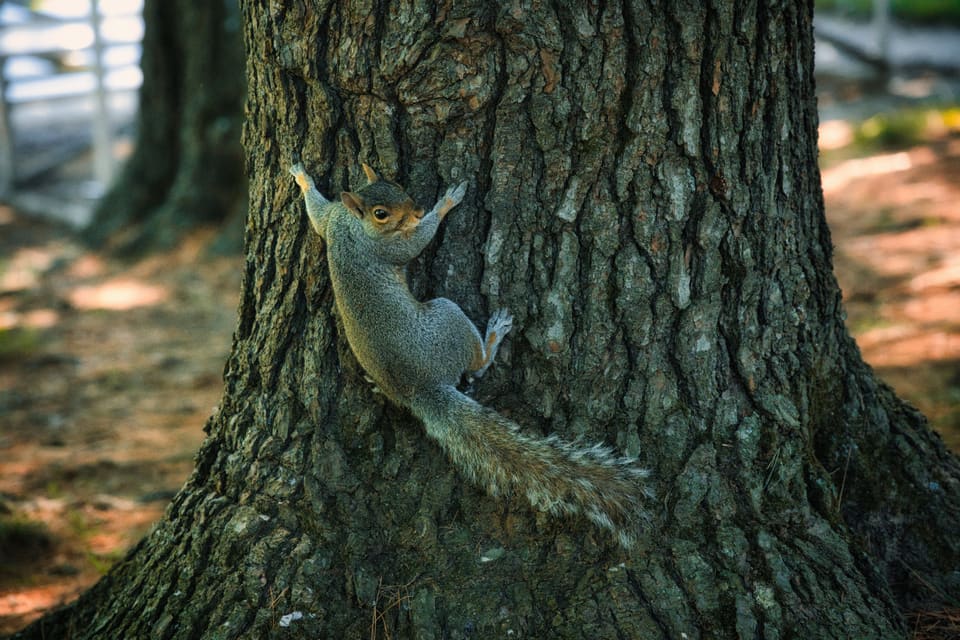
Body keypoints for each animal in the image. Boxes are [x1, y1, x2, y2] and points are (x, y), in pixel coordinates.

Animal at [289, 160, 651, 548]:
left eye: (397, 184)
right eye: (381, 213)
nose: (417, 210)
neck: (353, 226)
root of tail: (422, 388)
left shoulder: (330, 219)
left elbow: (316, 213)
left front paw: (302, 178)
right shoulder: (382, 247)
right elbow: (416, 243)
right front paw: (446, 204)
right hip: (448, 320)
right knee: (475, 365)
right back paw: (494, 333)